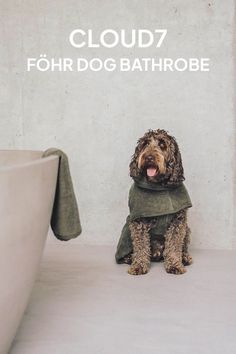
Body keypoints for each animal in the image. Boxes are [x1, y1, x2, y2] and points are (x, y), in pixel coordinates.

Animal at [115, 130, 194, 276]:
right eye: (145, 144)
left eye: (162, 144)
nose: (149, 157)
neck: (159, 187)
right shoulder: (138, 222)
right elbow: (141, 246)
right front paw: (139, 266)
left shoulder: (178, 222)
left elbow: (174, 244)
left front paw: (174, 265)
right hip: (126, 230)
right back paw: (130, 258)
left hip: (187, 229)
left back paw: (184, 257)